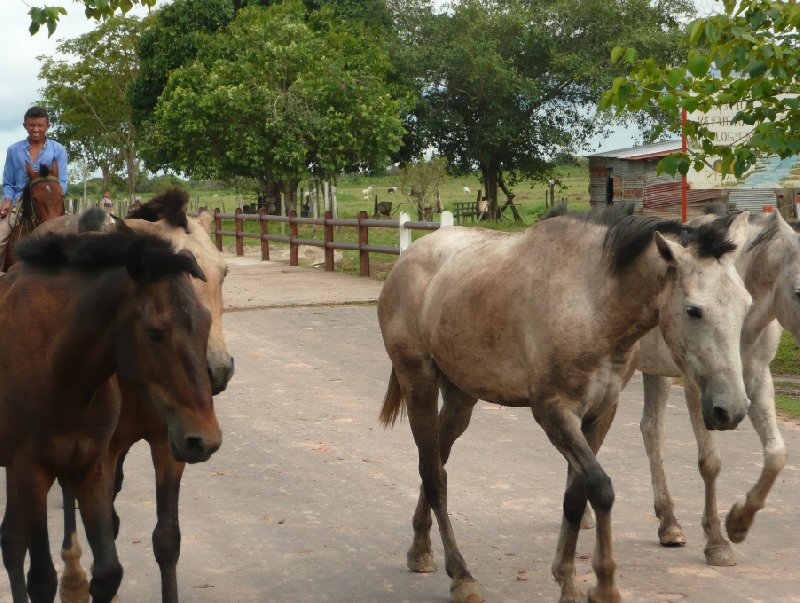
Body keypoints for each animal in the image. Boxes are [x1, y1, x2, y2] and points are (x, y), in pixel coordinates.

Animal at [378, 212, 752, 603]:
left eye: (746, 304)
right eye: (694, 310)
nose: (732, 409)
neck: (592, 300)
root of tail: (407, 259)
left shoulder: (601, 412)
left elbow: (575, 495)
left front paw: (568, 581)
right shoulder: (554, 412)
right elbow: (600, 488)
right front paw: (604, 585)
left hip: (459, 399)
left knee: (435, 463)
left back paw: (420, 550)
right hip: (418, 384)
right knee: (434, 476)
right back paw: (462, 577)